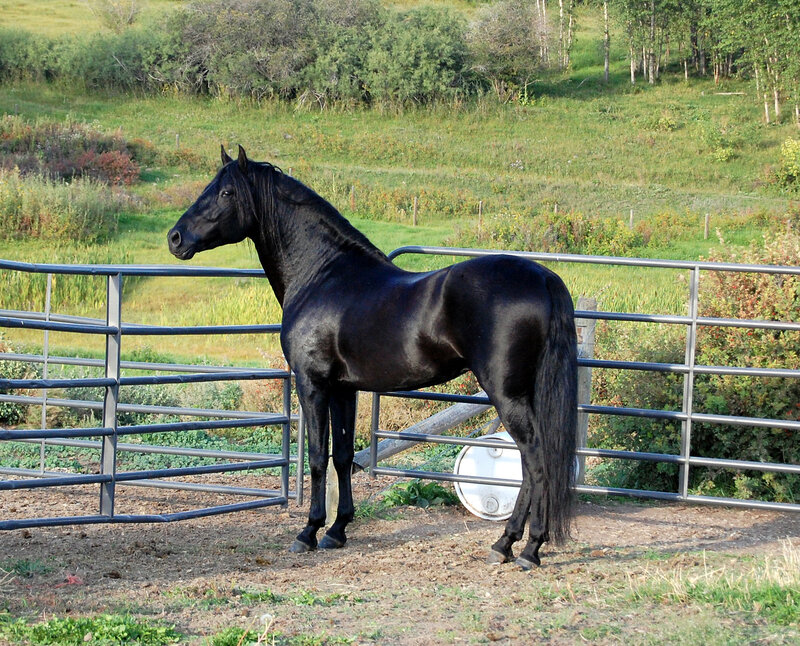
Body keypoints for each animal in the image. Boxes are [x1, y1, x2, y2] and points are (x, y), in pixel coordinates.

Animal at [168, 146, 578, 569]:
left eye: (227, 192)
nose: (175, 238)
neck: (323, 276)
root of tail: (543, 277)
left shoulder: (313, 383)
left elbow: (319, 456)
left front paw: (308, 532)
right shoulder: (344, 389)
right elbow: (344, 456)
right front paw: (337, 530)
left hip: (506, 393)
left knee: (535, 459)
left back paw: (524, 548)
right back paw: (508, 544)